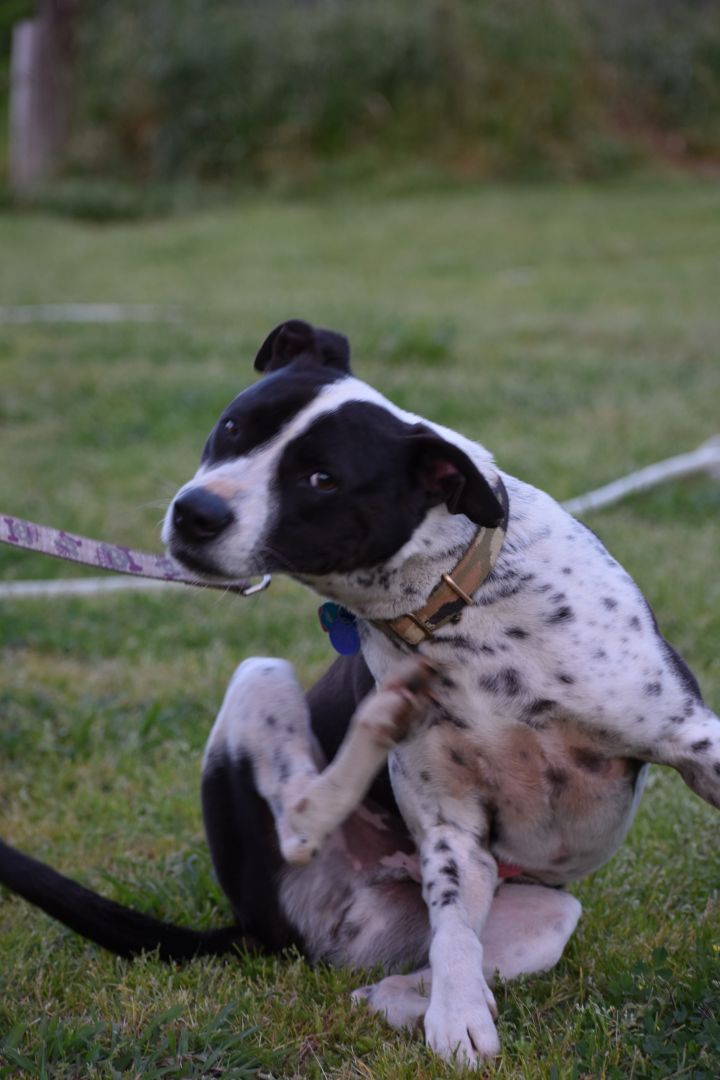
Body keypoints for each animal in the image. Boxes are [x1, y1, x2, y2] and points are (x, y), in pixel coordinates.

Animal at [2, 315, 716, 1067]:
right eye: (232, 428)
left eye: (323, 478)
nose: (195, 512)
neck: (460, 606)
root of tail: (264, 929)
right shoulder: (451, 825)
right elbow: (454, 928)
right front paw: (459, 1019)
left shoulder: (694, 741)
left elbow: (455, 939)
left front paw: (451, 1013)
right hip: (262, 680)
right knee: (303, 827)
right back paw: (380, 721)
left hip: (545, 914)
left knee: (413, 962)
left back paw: (396, 993)